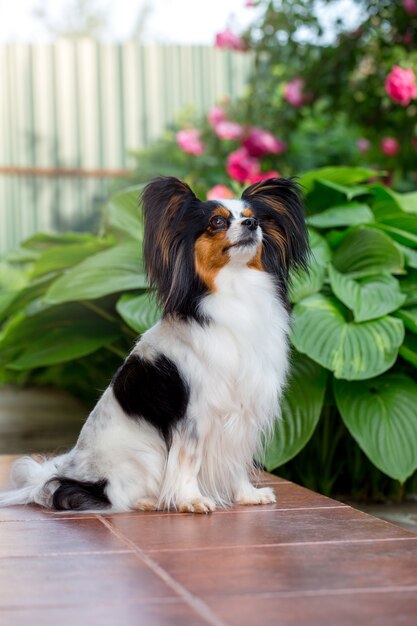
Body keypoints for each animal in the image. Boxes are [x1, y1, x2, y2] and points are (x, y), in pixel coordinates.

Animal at [0, 176, 308, 512]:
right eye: (217, 222)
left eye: (255, 218)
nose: (252, 225)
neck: (236, 289)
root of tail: (76, 478)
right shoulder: (195, 417)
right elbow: (189, 461)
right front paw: (191, 500)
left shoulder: (241, 416)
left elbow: (236, 462)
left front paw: (247, 495)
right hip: (142, 456)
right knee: (116, 496)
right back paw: (150, 501)